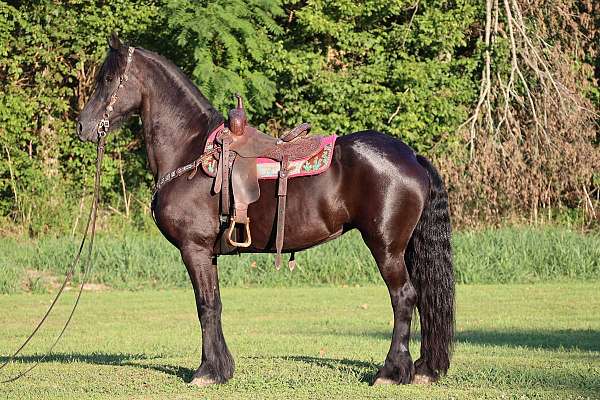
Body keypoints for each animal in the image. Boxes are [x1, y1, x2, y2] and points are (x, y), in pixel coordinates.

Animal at [76, 34, 454, 388]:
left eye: (108, 78)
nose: (83, 126)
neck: (191, 151)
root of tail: (410, 155)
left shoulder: (193, 249)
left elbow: (205, 306)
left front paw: (206, 372)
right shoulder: (207, 253)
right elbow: (215, 304)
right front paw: (222, 368)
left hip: (386, 247)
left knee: (404, 298)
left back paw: (390, 372)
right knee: (422, 298)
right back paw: (422, 369)